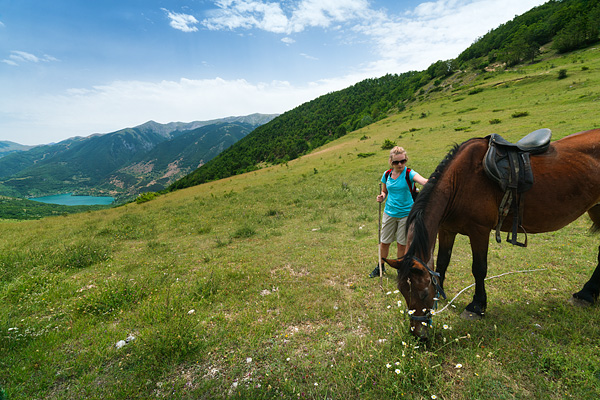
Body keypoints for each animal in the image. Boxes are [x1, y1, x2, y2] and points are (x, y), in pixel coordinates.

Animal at [384, 130, 600, 340]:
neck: (459, 181)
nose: (417, 334)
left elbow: (479, 268)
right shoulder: (447, 230)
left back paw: (586, 294)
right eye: (403, 292)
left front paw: (476, 306)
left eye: (422, 294)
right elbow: (442, 263)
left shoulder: (479, 230)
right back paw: (587, 294)